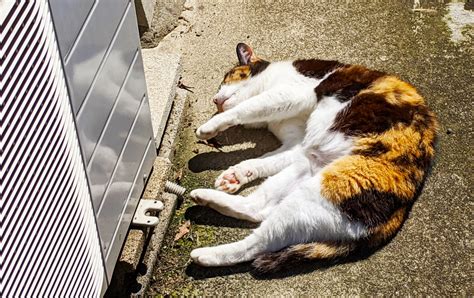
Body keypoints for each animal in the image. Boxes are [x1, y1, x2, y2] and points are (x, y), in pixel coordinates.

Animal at [188, 43, 436, 274]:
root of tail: (402, 209)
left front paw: (209, 127)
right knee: (257, 208)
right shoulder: (297, 144)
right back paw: (205, 198)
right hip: (307, 170)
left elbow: (247, 107)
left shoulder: (293, 92)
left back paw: (205, 255)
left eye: (227, 78)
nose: (214, 100)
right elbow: (261, 161)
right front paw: (236, 176)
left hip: (320, 190)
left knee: (258, 244)